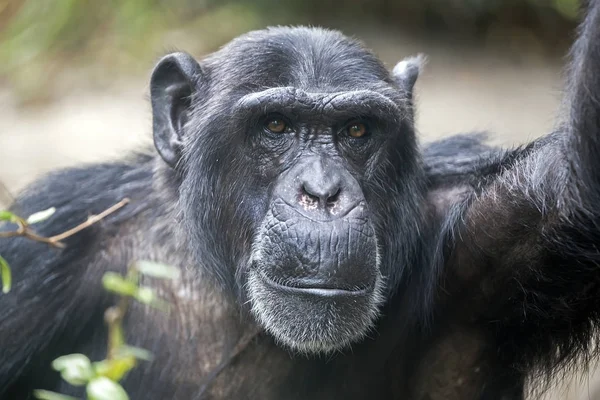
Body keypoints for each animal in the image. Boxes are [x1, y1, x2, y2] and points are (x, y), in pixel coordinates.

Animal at [3, 0, 600, 398]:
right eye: (276, 125)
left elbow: (576, 189)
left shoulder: (490, 240)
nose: (323, 192)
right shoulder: (43, 248)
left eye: (357, 130)